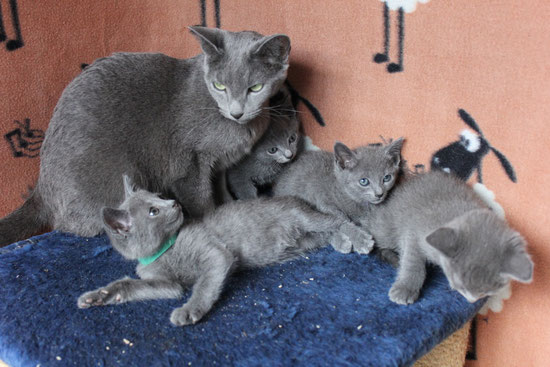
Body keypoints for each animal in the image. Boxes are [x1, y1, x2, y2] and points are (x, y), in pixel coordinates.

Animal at [0, 25, 294, 246]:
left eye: (255, 88)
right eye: (219, 86)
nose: (236, 112)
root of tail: (40, 187)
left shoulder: (221, 163)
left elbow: (221, 187)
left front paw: (230, 206)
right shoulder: (190, 163)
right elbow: (202, 198)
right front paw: (215, 222)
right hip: (122, 175)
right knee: (73, 224)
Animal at [76, 177, 370, 326]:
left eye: (159, 198)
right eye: (153, 211)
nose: (174, 203)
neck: (167, 248)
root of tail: (297, 199)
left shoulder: (215, 254)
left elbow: (204, 285)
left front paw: (190, 310)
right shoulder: (167, 284)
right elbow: (131, 285)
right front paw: (99, 296)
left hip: (303, 217)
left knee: (338, 219)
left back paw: (360, 238)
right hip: (307, 237)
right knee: (329, 231)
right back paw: (343, 242)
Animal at [366, 171, 536, 306]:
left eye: (486, 292)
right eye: (459, 285)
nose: (472, 300)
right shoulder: (413, 232)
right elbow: (412, 262)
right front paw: (405, 289)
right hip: (386, 229)